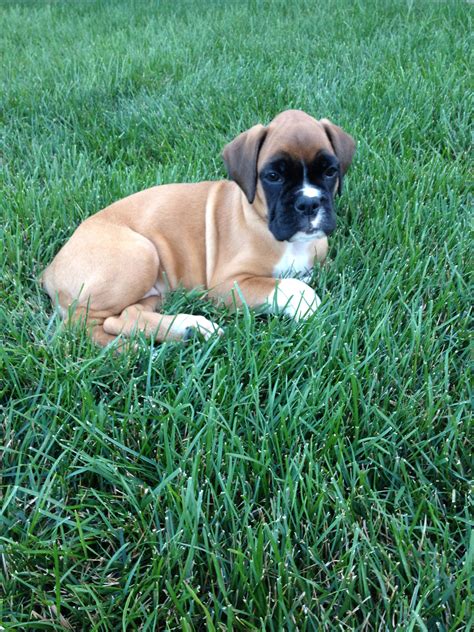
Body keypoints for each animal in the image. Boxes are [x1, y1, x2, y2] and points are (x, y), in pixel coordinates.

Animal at [41, 108, 356, 346]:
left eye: (330, 171)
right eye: (273, 176)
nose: (309, 203)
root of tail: (50, 270)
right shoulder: (227, 285)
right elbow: (290, 285)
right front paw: (306, 305)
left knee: (126, 316)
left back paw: (188, 329)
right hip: (140, 253)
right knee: (81, 325)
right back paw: (130, 351)